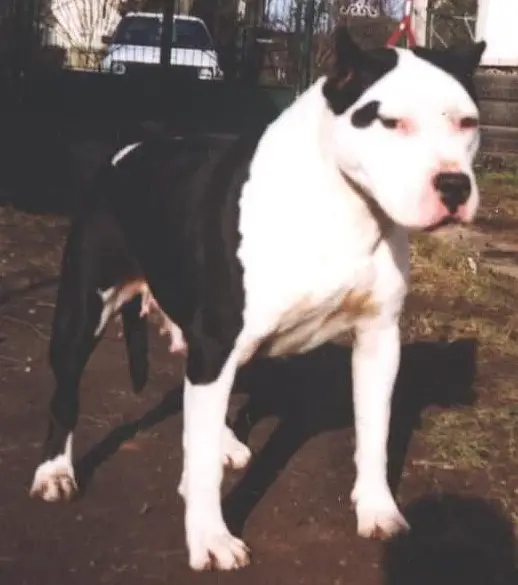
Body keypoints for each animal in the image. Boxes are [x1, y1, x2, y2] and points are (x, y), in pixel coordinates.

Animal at [30, 27, 486, 571]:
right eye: (391, 122)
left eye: (467, 122)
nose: (454, 185)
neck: (345, 206)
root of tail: (130, 150)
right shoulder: (216, 342)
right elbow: (203, 461)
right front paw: (210, 538)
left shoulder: (378, 341)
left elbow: (375, 432)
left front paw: (378, 510)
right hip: (82, 314)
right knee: (67, 395)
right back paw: (55, 471)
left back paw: (224, 441)